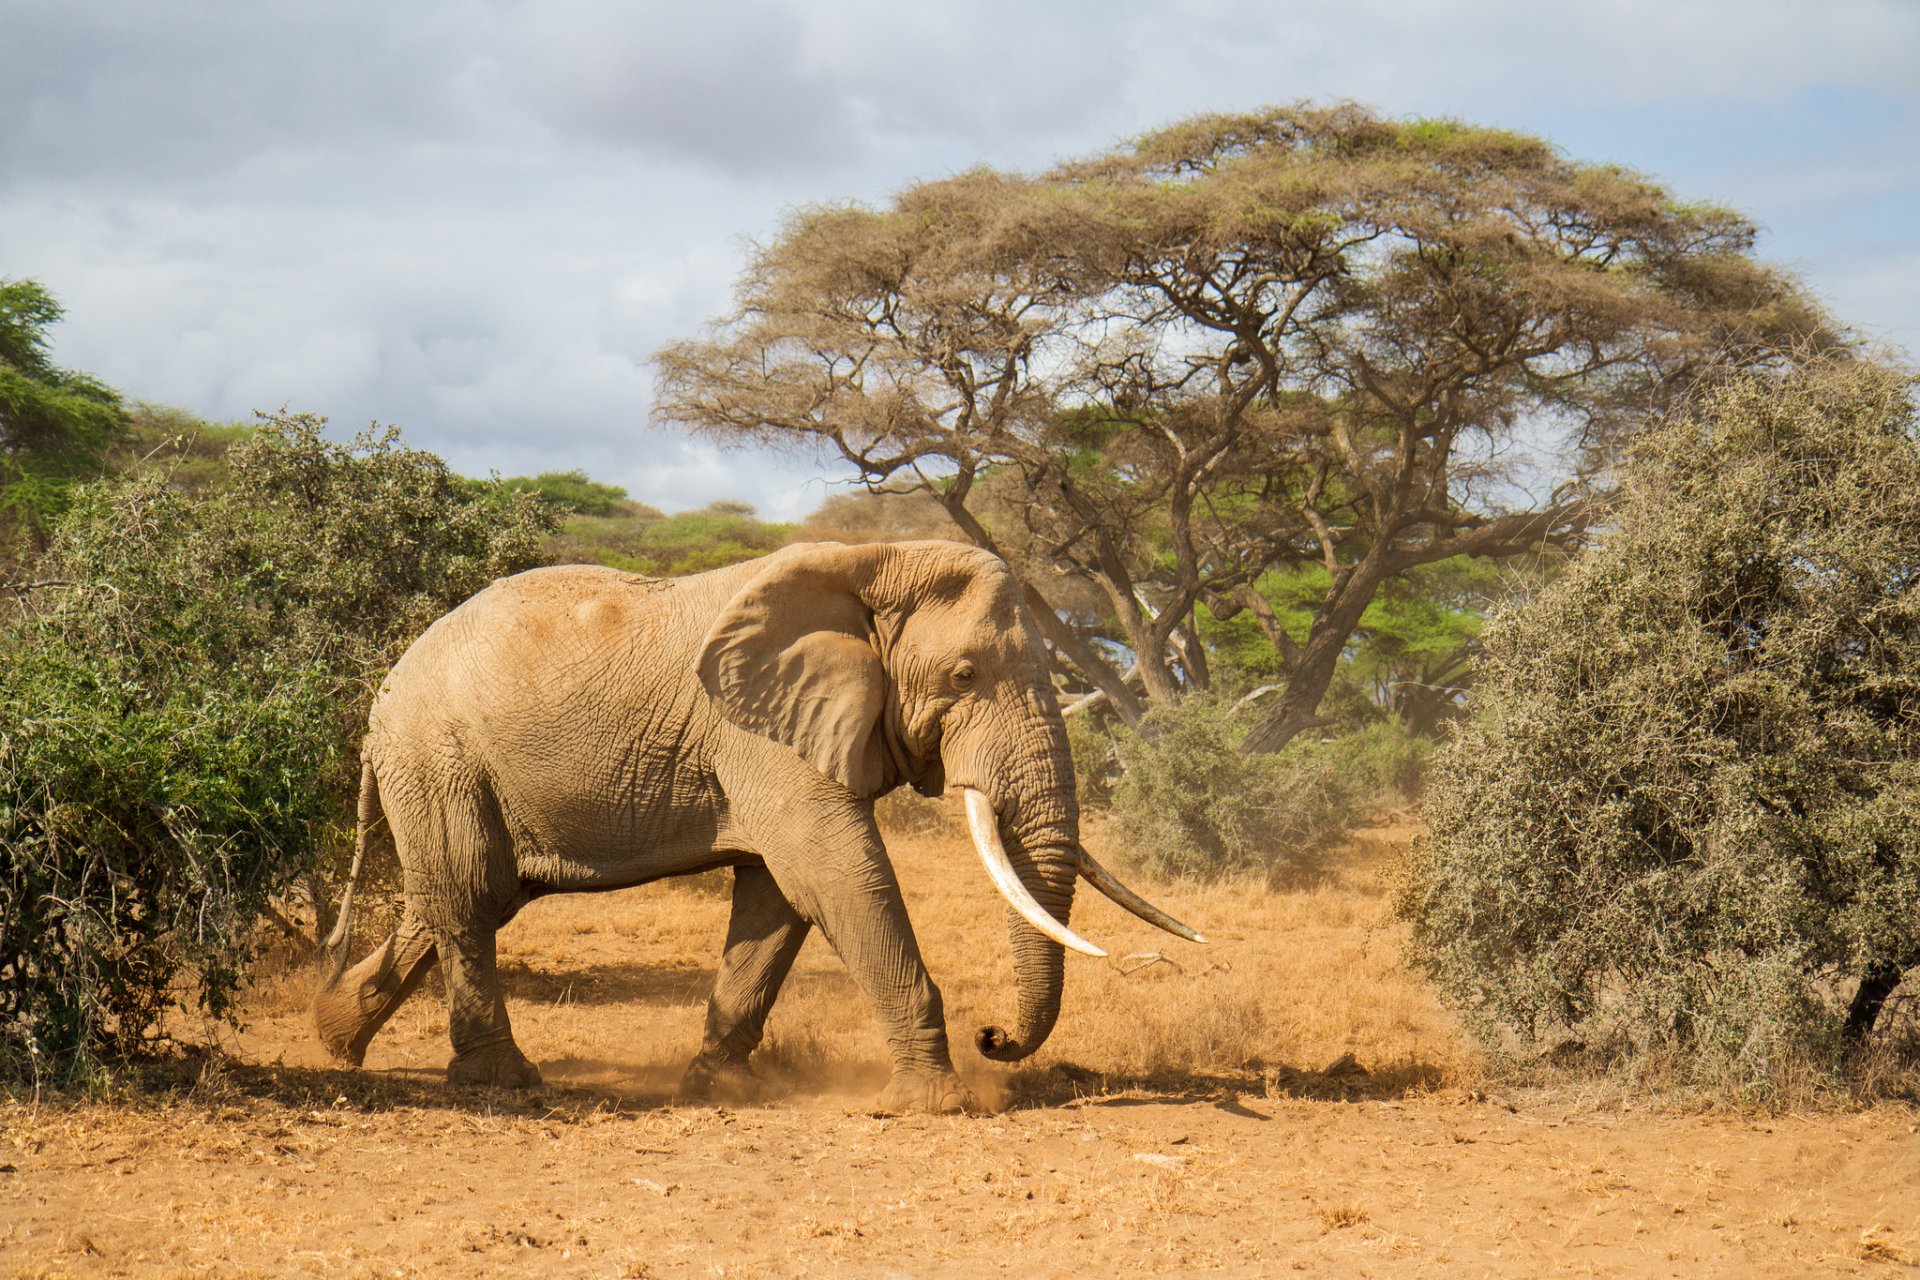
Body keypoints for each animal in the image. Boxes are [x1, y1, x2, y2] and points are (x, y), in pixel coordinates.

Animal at [313, 539, 1201, 1113]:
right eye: (963, 675)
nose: (995, 1037)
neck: (873, 559)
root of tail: (380, 698)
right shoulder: (761, 732)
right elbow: (838, 871)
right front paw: (933, 1105)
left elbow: (777, 899)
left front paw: (720, 1088)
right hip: (438, 755)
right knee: (468, 898)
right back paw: (501, 1083)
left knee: (463, 898)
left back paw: (335, 1038)